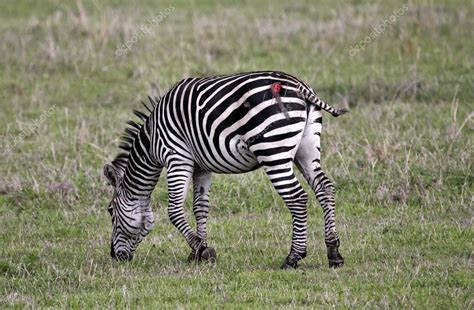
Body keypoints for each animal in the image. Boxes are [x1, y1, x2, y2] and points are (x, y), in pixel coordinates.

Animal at [103, 71, 346, 268]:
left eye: (110, 211)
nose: (115, 257)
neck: (152, 140)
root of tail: (298, 86)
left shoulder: (176, 157)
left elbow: (174, 211)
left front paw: (202, 249)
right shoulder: (201, 167)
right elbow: (200, 208)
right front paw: (197, 251)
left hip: (273, 151)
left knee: (297, 198)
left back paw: (293, 257)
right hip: (306, 148)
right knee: (325, 188)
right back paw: (334, 253)